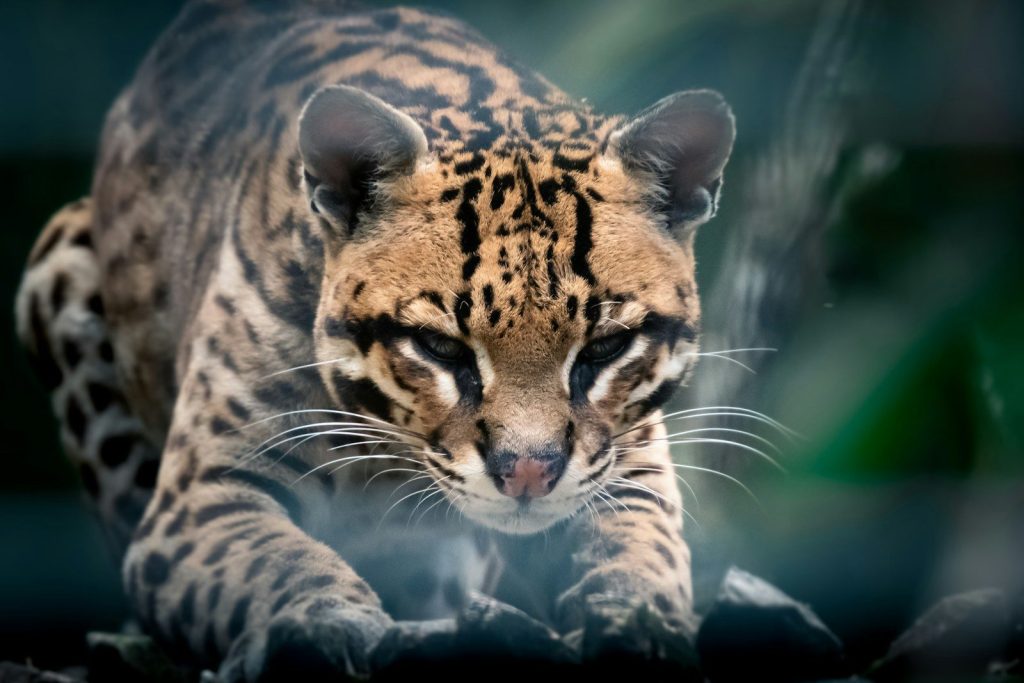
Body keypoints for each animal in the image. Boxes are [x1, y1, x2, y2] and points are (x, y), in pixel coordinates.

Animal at [14, 0, 734, 679]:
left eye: (606, 347)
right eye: (439, 347)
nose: (527, 474)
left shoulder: (629, 466)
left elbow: (635, 551)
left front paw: (640, 621)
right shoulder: (200, 496)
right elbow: (279, 562)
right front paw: (332, 625)